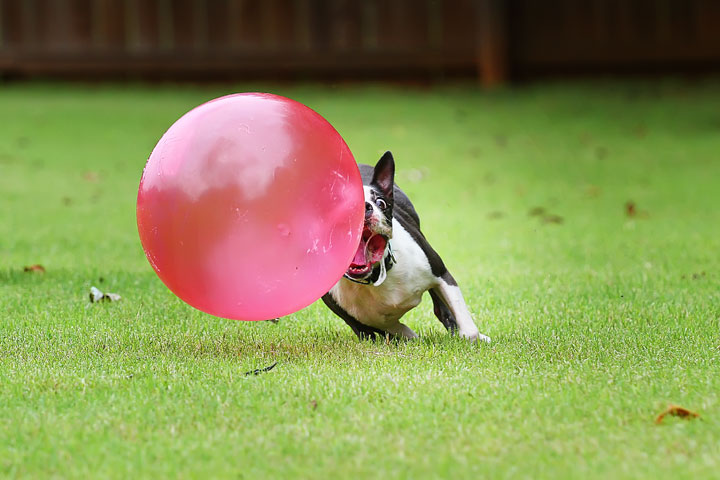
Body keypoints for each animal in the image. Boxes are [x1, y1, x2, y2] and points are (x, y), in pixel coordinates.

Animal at [324, 152, 492, 344]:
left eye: (381, 203)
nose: (362, 207)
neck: (377, 275)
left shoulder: (442, 274)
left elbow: (469, 328)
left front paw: (472, 337)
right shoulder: (362, 319)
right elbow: (391, 329)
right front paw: (410, 337)